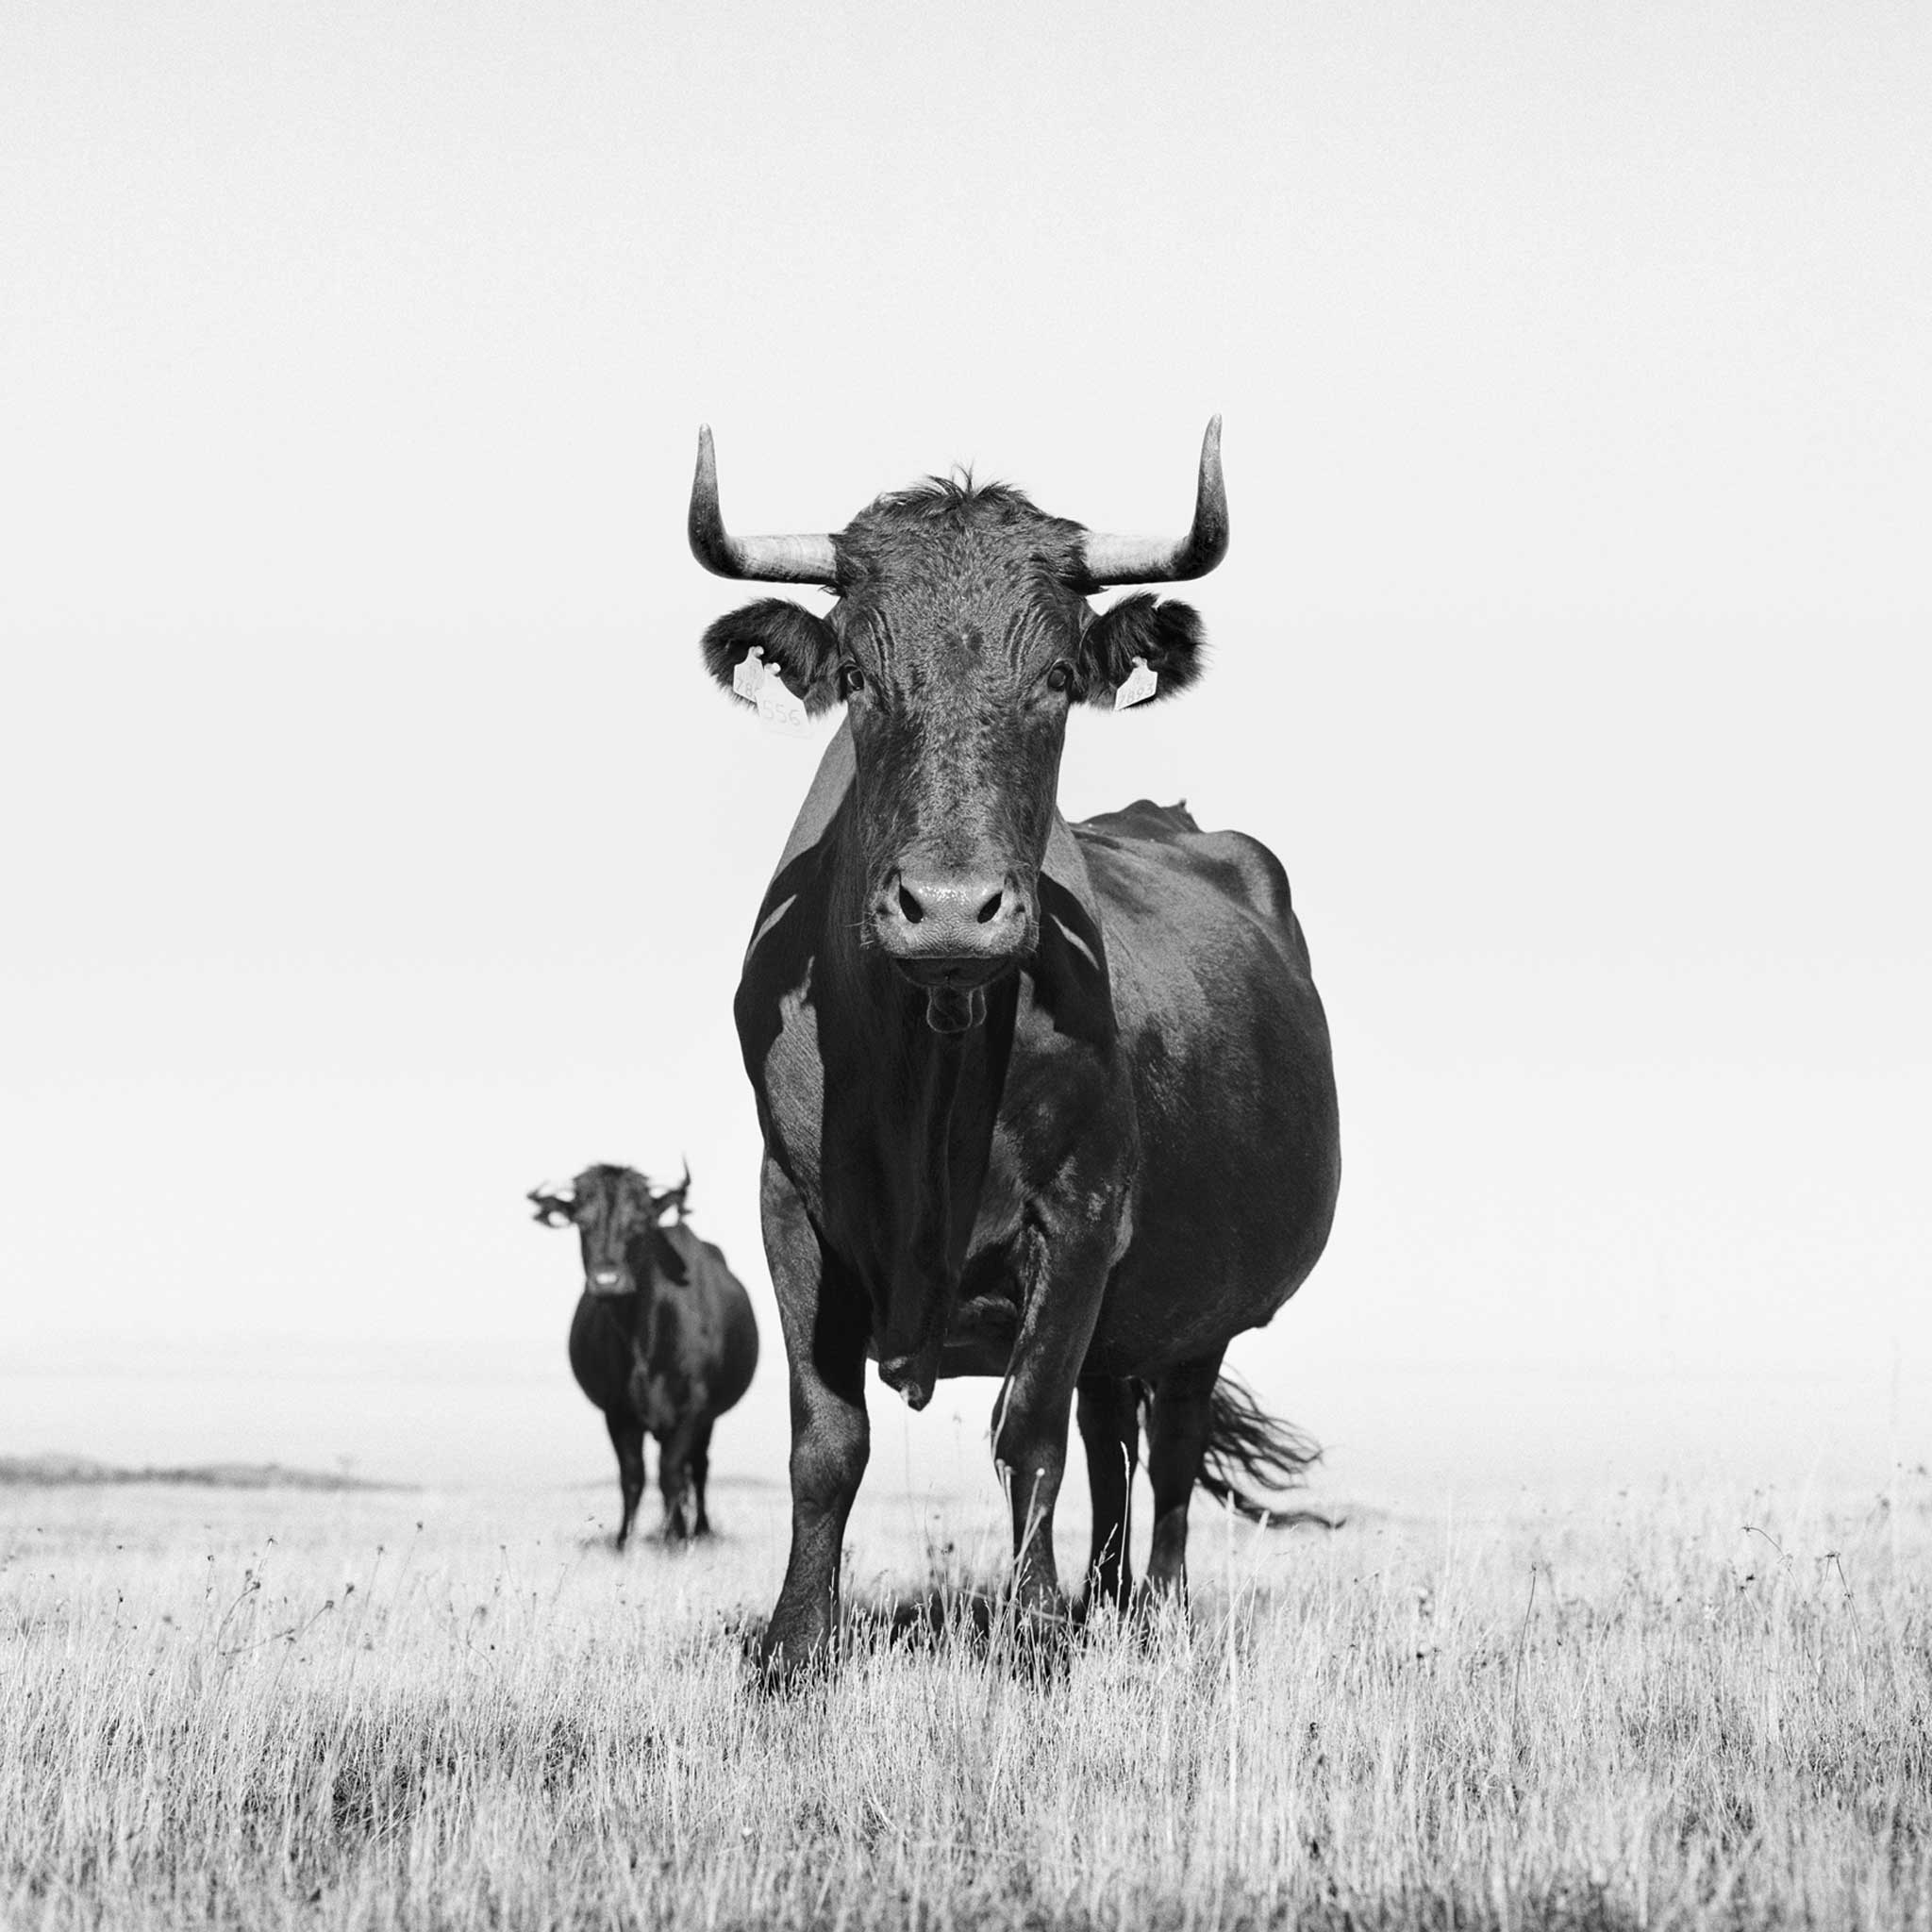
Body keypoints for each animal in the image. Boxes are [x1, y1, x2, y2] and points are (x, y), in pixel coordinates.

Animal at [527, 1164, 759, 1547]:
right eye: (582, 1221)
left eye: (638, 1222)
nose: (607, 1281)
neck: (644, 1341)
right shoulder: (617, 1411)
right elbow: (632, 1475)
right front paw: (626, 1541)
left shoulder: (693, 1408)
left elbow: (671, 1472)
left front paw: (676, 1539)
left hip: (707, 1419)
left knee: (698, 1468)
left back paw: (700, 1529)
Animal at [690, 419, 1341, 1678]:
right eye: (858, 678)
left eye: (1054, 681)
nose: (949, 909)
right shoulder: (789, 1204)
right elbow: (824, 1440)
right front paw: (794, 1651)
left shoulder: (1079, 1215)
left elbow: (1024, 1426)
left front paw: (1034, 1641)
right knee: (1112, 1434)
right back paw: (1102, 1600)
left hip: (1198, 1311)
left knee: (1160, 1447)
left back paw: (1148, 1613)